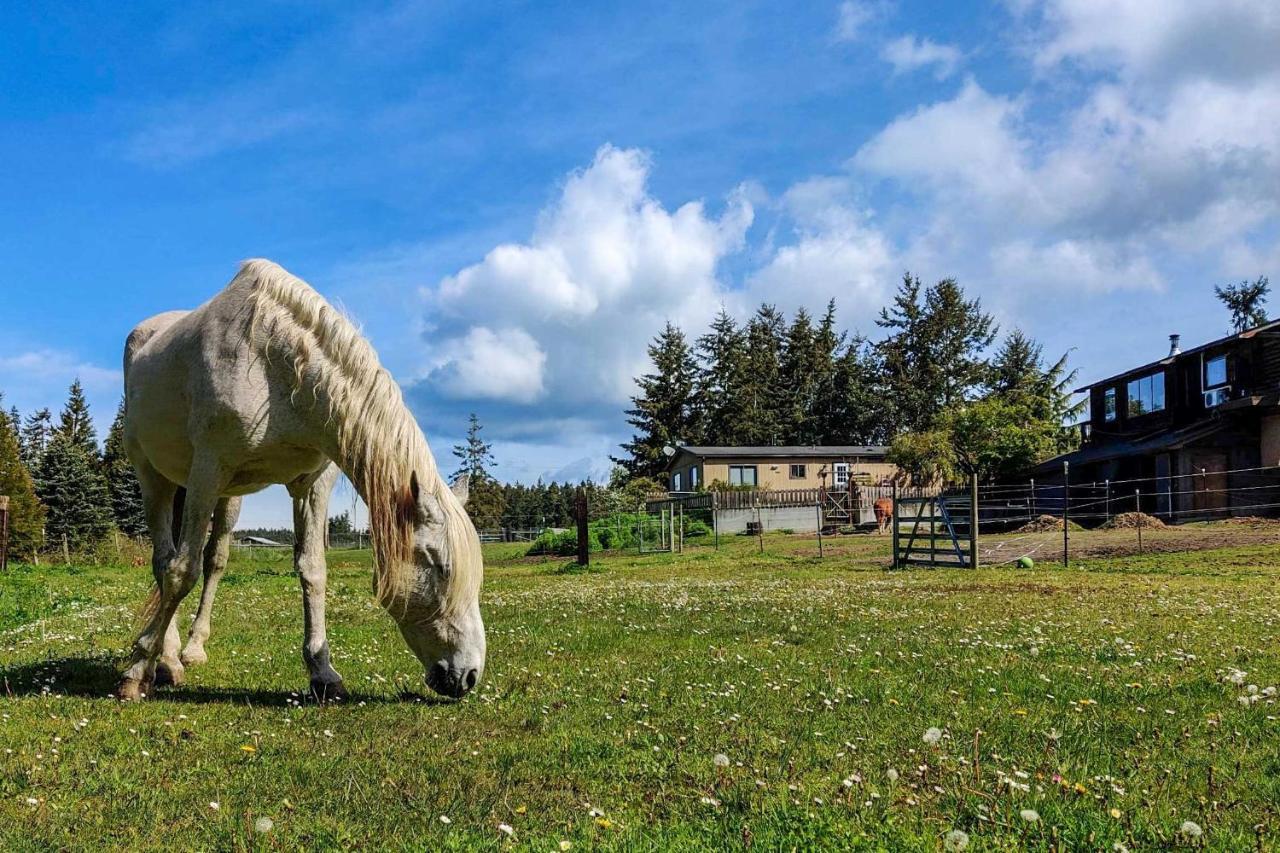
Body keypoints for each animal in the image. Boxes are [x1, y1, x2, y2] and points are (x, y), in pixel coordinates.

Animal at [117, 258, 483, 696]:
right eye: (442, 568)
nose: (468, 676)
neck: (272, 363)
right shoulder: (207, 470)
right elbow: (180, 571)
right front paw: (137, 669)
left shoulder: (311, 485)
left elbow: (312, 570)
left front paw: (323, 673)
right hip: (156, 478)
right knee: (165, 561)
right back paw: (167, 659)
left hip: (229, 496)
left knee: (215, 560)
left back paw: (191, 649)